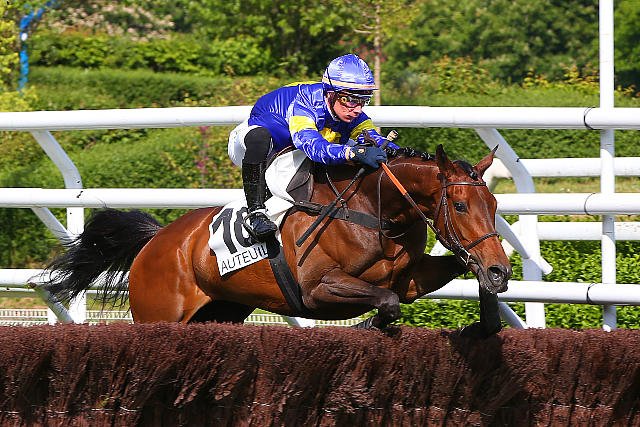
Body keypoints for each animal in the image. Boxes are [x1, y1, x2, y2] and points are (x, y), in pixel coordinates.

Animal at [40, 144, 511, 338]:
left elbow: (410, 289)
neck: (375, 211)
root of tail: (157, 240)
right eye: (461, 205)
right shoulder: (317, 289)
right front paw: (366, 326)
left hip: (221, 312)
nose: (502, 269)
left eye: (493, 203)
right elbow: (387, 301)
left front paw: (485, 316)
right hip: (157, 315)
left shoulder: (411, 276)